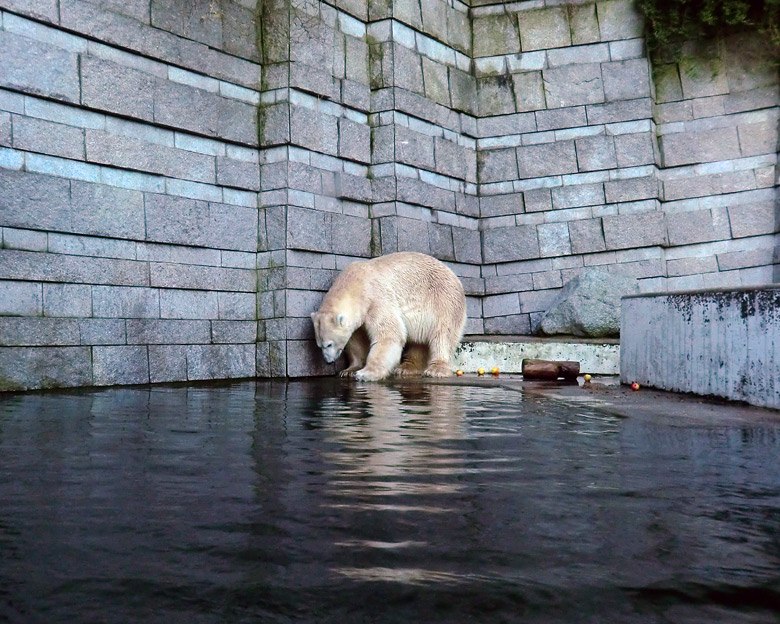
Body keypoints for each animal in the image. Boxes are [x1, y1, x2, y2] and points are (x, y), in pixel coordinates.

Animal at [310, 252, 466, 380]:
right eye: (318, 345)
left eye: (329, 344)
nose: (328, 361)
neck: (357, 283)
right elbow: (356, 341)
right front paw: (349, 370)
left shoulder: (377, 298)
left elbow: (389, 334)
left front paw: (365, 373)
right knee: (418, 341)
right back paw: (406, 368)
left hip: (443, 301)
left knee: (443, 335)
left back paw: (436, 369)